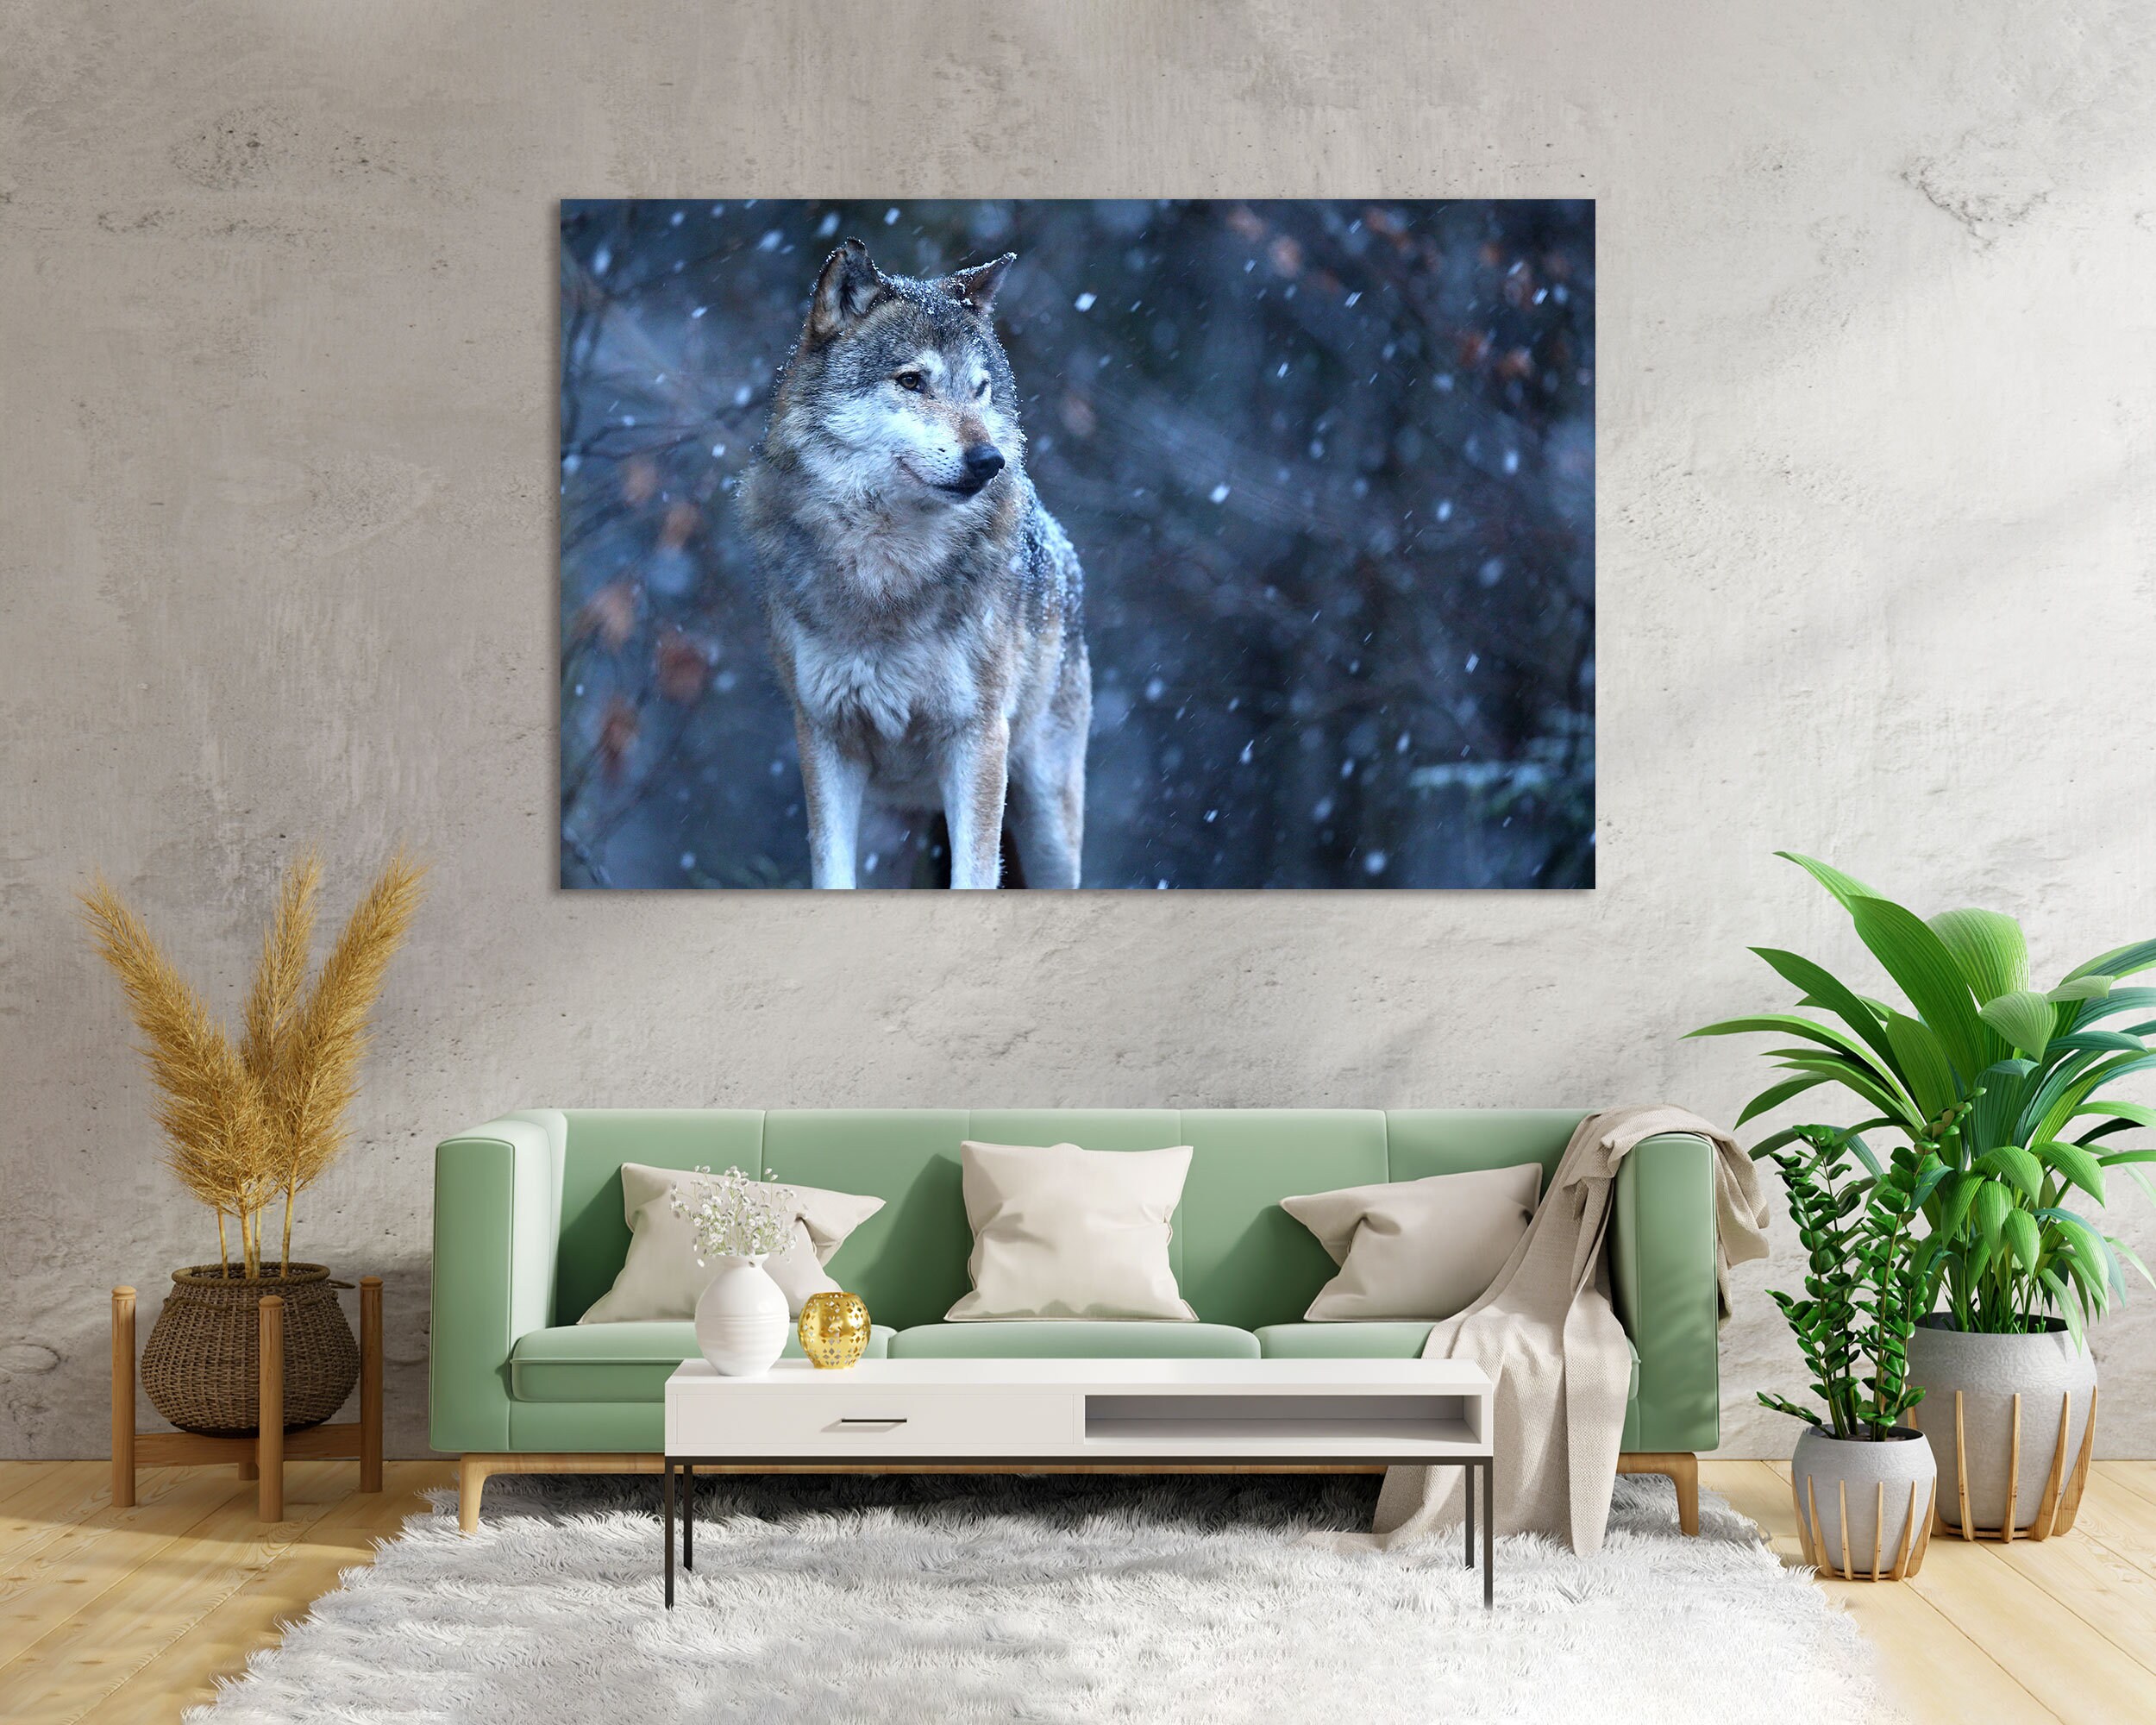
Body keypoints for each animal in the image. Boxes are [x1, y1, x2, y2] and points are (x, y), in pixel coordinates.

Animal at [740, 238, 1091, 890]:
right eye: (912, 381)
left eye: (980, 389)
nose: (989, 460)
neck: (888, 572)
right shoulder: (824, 738)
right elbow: (829, 875)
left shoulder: (977, 738)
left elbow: (974, 879)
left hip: (1049, 828)